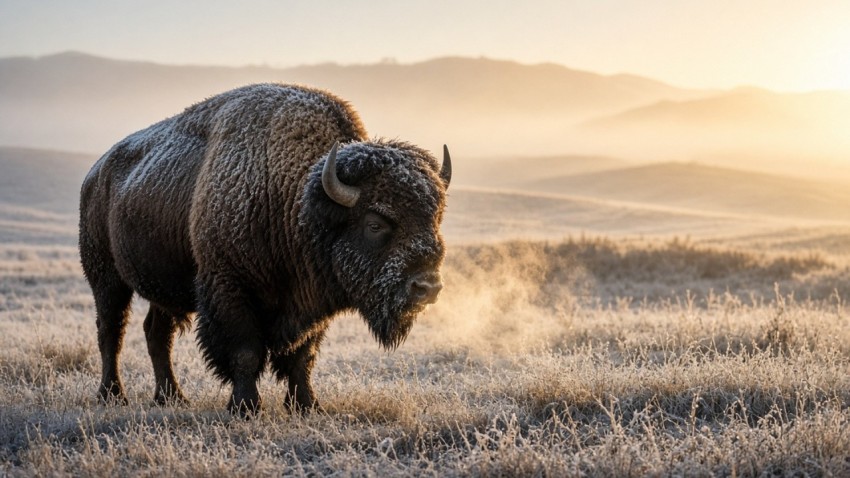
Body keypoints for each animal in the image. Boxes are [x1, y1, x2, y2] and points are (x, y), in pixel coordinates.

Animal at [79, 83, 451, 416]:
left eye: (436, 217)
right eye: (375, 224)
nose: (427, 287)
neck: (296, 201)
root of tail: (95, 173)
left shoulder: (310, 303)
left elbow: (302, 356)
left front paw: (307, 405)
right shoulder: (230, 290)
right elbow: (246, 352)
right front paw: (245, 407)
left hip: (164, 288)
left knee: (157, 333)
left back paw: (171, 398)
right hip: (107, 278)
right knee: (111, 330)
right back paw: (113, 395)